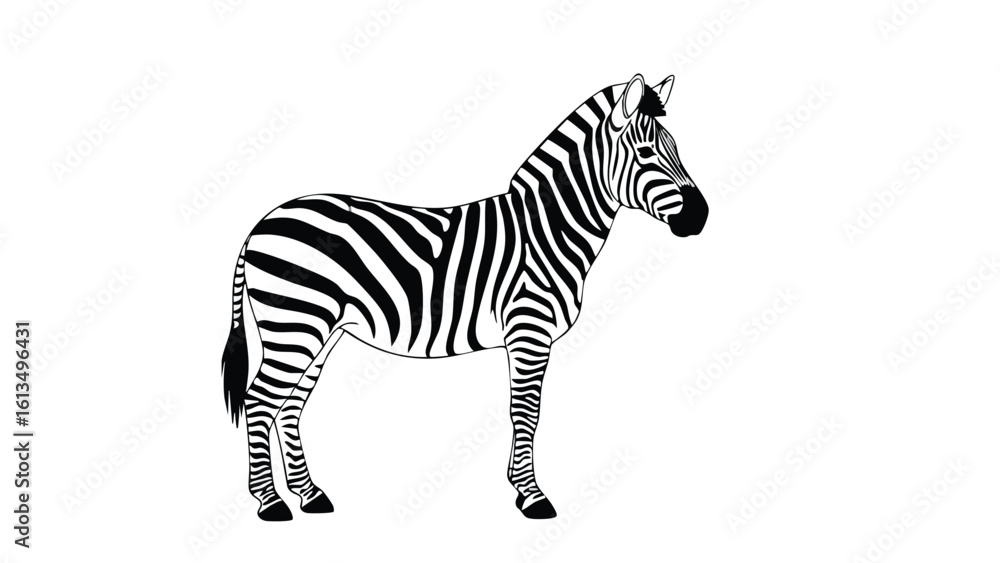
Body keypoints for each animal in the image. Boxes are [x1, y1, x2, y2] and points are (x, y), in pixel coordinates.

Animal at [220, 73, 708, 521]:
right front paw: (532, 496)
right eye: (646, 153)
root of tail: (260, 224)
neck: (546, 230)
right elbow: (525, 410)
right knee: (260, 401)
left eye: (676, 148)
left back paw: (310, 496)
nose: (701, 217)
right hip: (296, 323)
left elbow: (524, 410)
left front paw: (518, 486)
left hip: (318, 330)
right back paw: (269, 503)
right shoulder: (528, 329)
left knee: (289, 407)